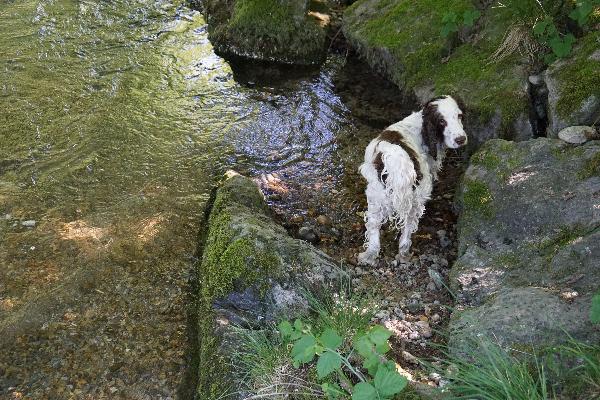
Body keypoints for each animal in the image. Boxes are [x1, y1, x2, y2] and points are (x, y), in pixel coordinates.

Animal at [357, 96, 468, 266]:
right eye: (442, 121)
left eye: (459, 116)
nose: (461, 139)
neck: (420, 127)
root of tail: (395, 157)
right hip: (416, 198)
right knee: (408, 227)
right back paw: (404, 253)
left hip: (376, 195)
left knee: (373, 225)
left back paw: (369, 255)